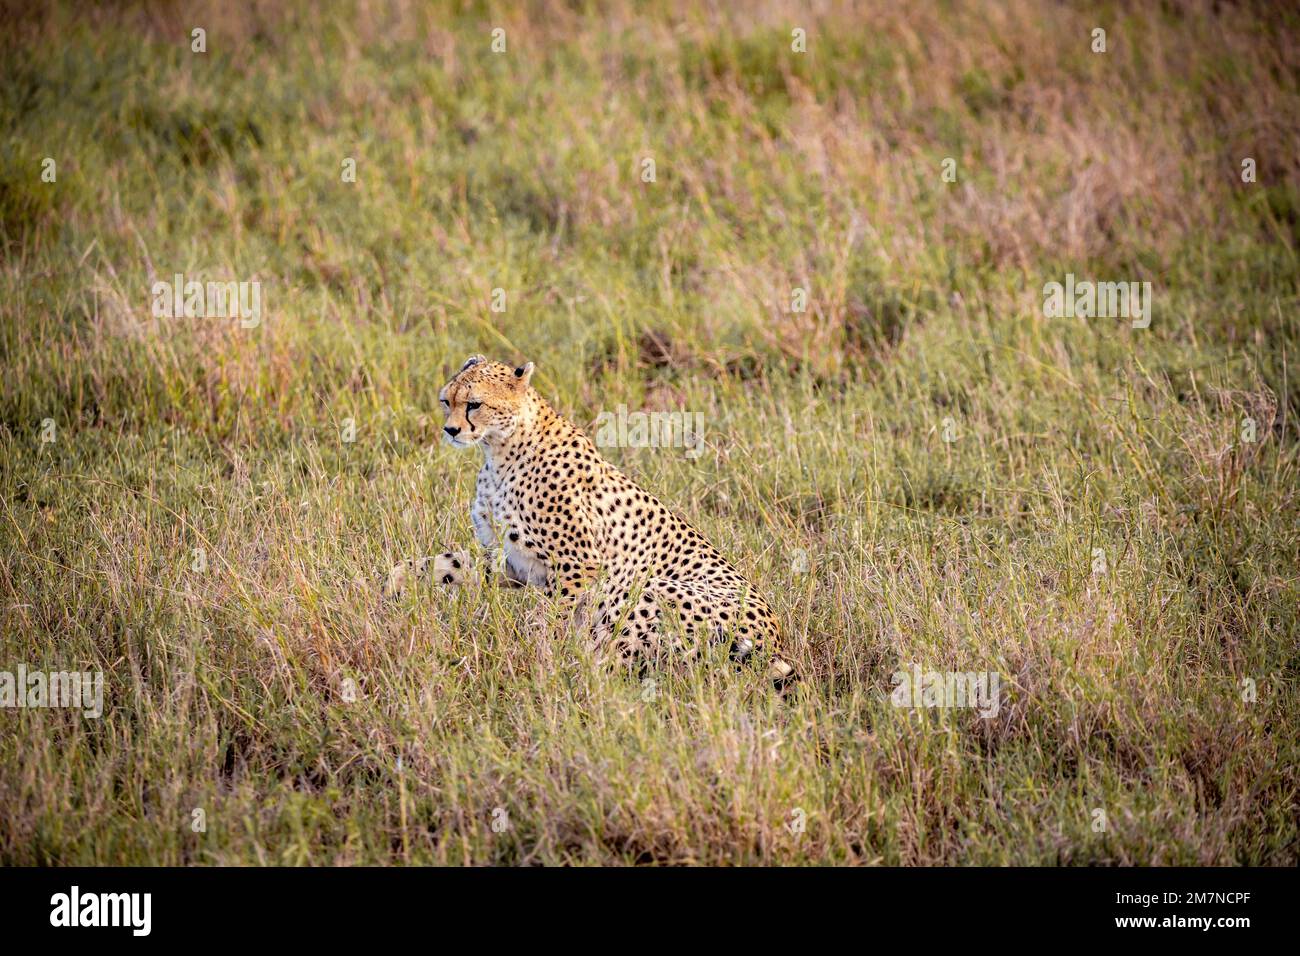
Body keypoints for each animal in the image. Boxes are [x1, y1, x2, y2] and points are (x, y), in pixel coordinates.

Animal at [382, 356, 790, 691]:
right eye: (446, 401)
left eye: (474, 404)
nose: (450, 430)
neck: (501, 449)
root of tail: (777, 641)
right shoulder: (509, 561)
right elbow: (446, 563)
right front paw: (393, 584)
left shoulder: (578, 565)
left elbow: (549, 622)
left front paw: (538, 658)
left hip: (647, 589)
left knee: (608, 661)